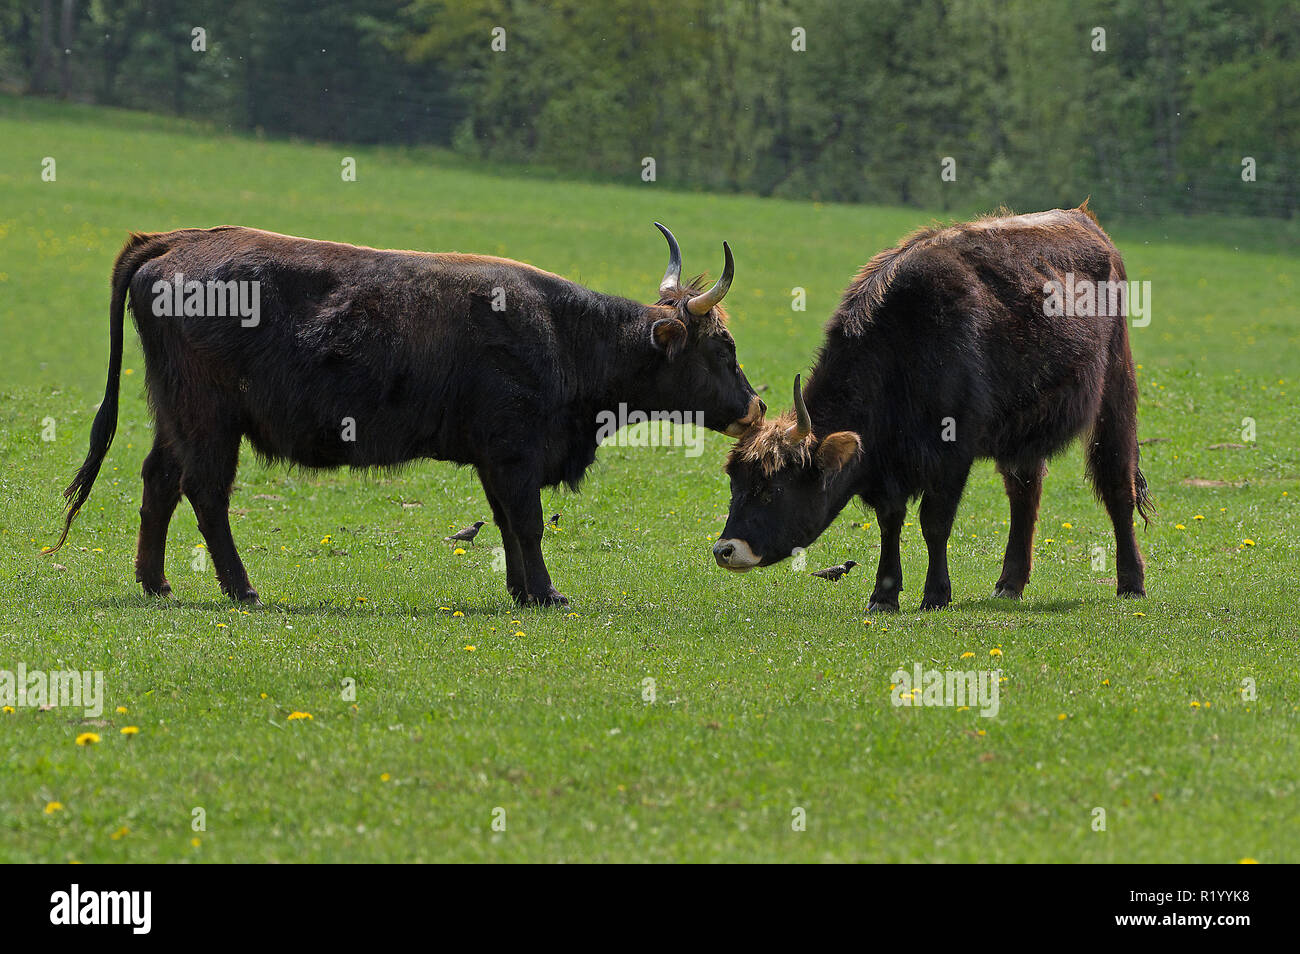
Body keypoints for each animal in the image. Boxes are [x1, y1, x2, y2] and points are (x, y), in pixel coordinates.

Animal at [48, 226, 759, 605]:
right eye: (723, 347)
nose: (756, 407)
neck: (562, 333)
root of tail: (174, 241)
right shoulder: (515, 452)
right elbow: (528, 523)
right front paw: (548, 593)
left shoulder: (494, 459)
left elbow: (507, 523)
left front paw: (522, 591)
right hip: (209, 421)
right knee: (205, 493)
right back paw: (240, 587)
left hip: (176, 416)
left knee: (159, 483)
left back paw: (156, 583)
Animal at [717, 205, 1154, 616]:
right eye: (735, 484)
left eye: (772, 489)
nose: (725, 549)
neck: (903, 347)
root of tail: (1086, 223)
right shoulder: (890, 468)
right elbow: (890, 523)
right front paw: (884, 595)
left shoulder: (952, 453)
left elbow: (934, 522)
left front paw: (935, 594)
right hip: (1023, 435)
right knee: (1024, 494)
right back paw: (1009, 583)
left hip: (1116, 392)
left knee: (1117, 484)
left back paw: (1131, 582)